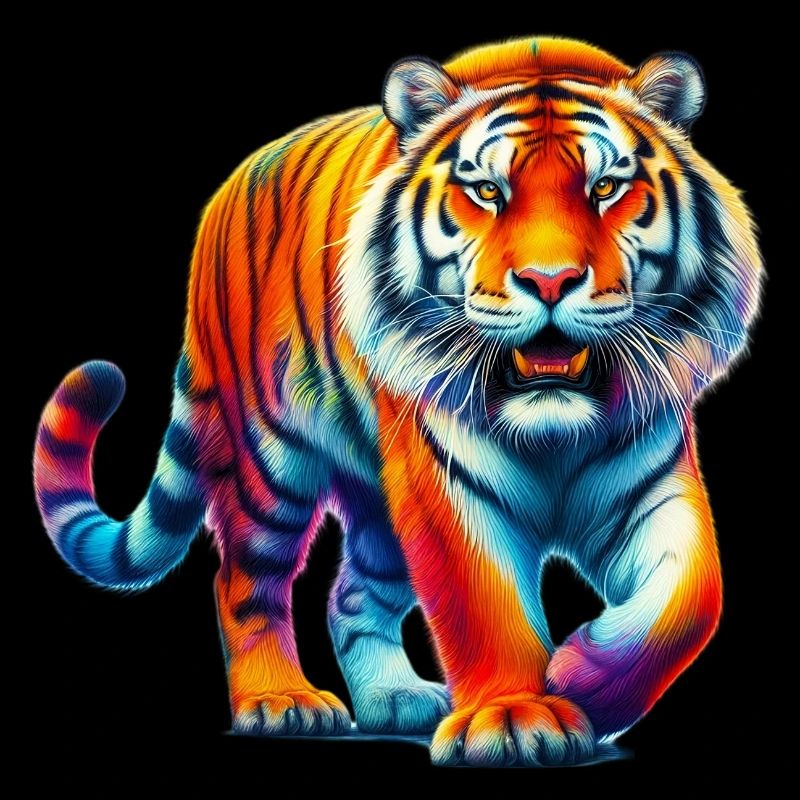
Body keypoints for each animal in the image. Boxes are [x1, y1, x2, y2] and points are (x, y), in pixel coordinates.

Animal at [33, 37, 762, 767]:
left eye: (605, 187)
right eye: (487, 192)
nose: (549, 280)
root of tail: (227, 191)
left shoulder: (654, 482)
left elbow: (694, 599)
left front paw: (585, 682)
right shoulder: (445, 486)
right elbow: (483, 607)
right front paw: (517, 715)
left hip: (378, 502)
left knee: (351, 593)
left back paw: (395, 698)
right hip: (271, 460)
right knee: (243, 580)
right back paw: (280, 701)